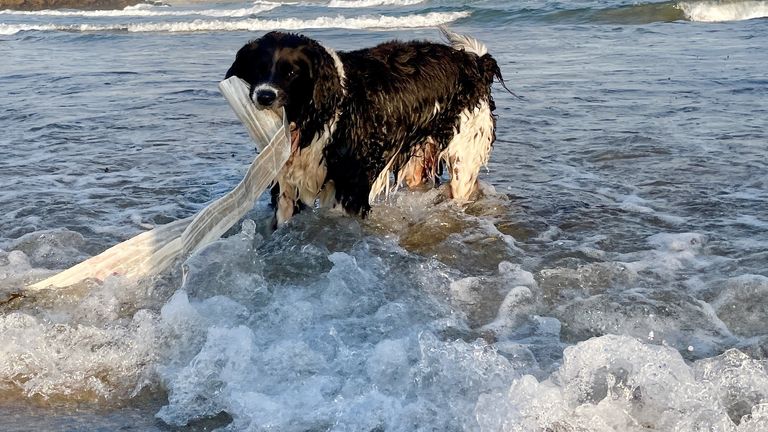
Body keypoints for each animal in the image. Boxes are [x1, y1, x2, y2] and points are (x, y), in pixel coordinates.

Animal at [225, 26, 508, 226]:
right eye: (258, 69)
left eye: (292, 73)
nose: (264, 96)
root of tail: (475, 61)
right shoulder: (287, 182)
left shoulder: (352, 185)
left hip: (464, 154)